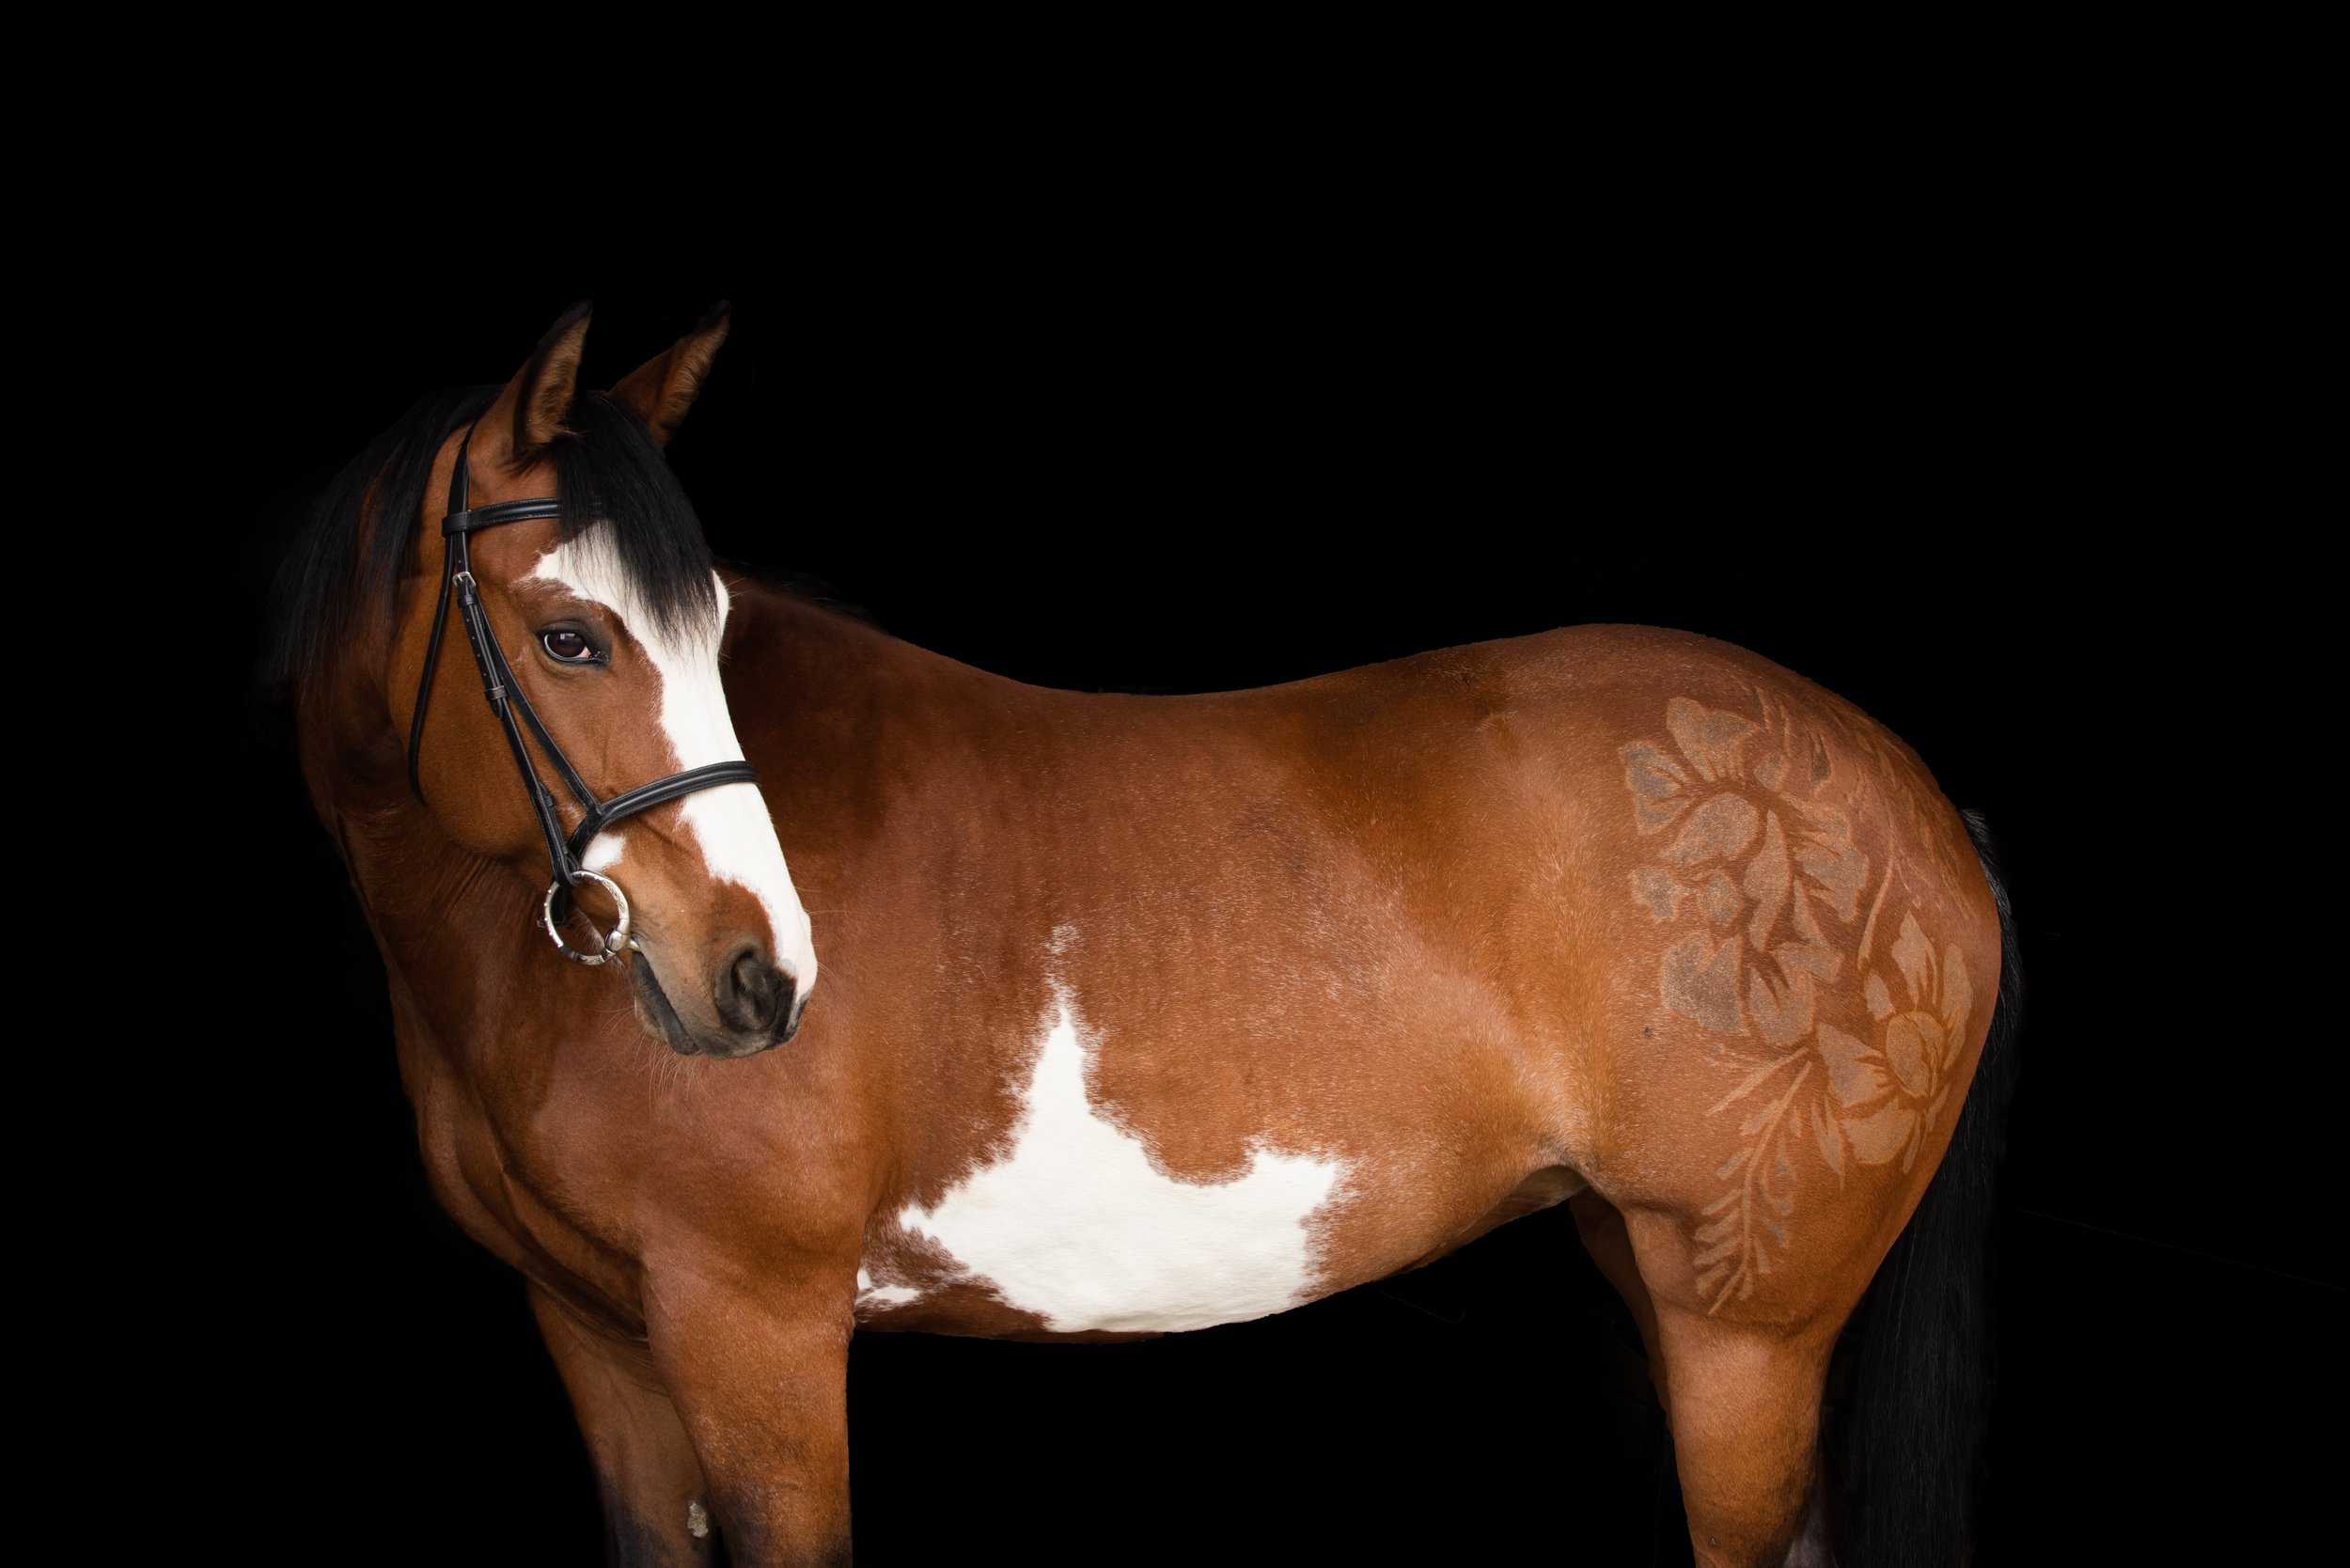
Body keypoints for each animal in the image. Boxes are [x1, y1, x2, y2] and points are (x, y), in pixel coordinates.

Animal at [271, 304, 2020, 1567]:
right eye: (571, 636)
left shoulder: (753, 1333)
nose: (758, 980)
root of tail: (1915, 804)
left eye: (704, 629)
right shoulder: (600, 1342)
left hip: (1746, 1335)